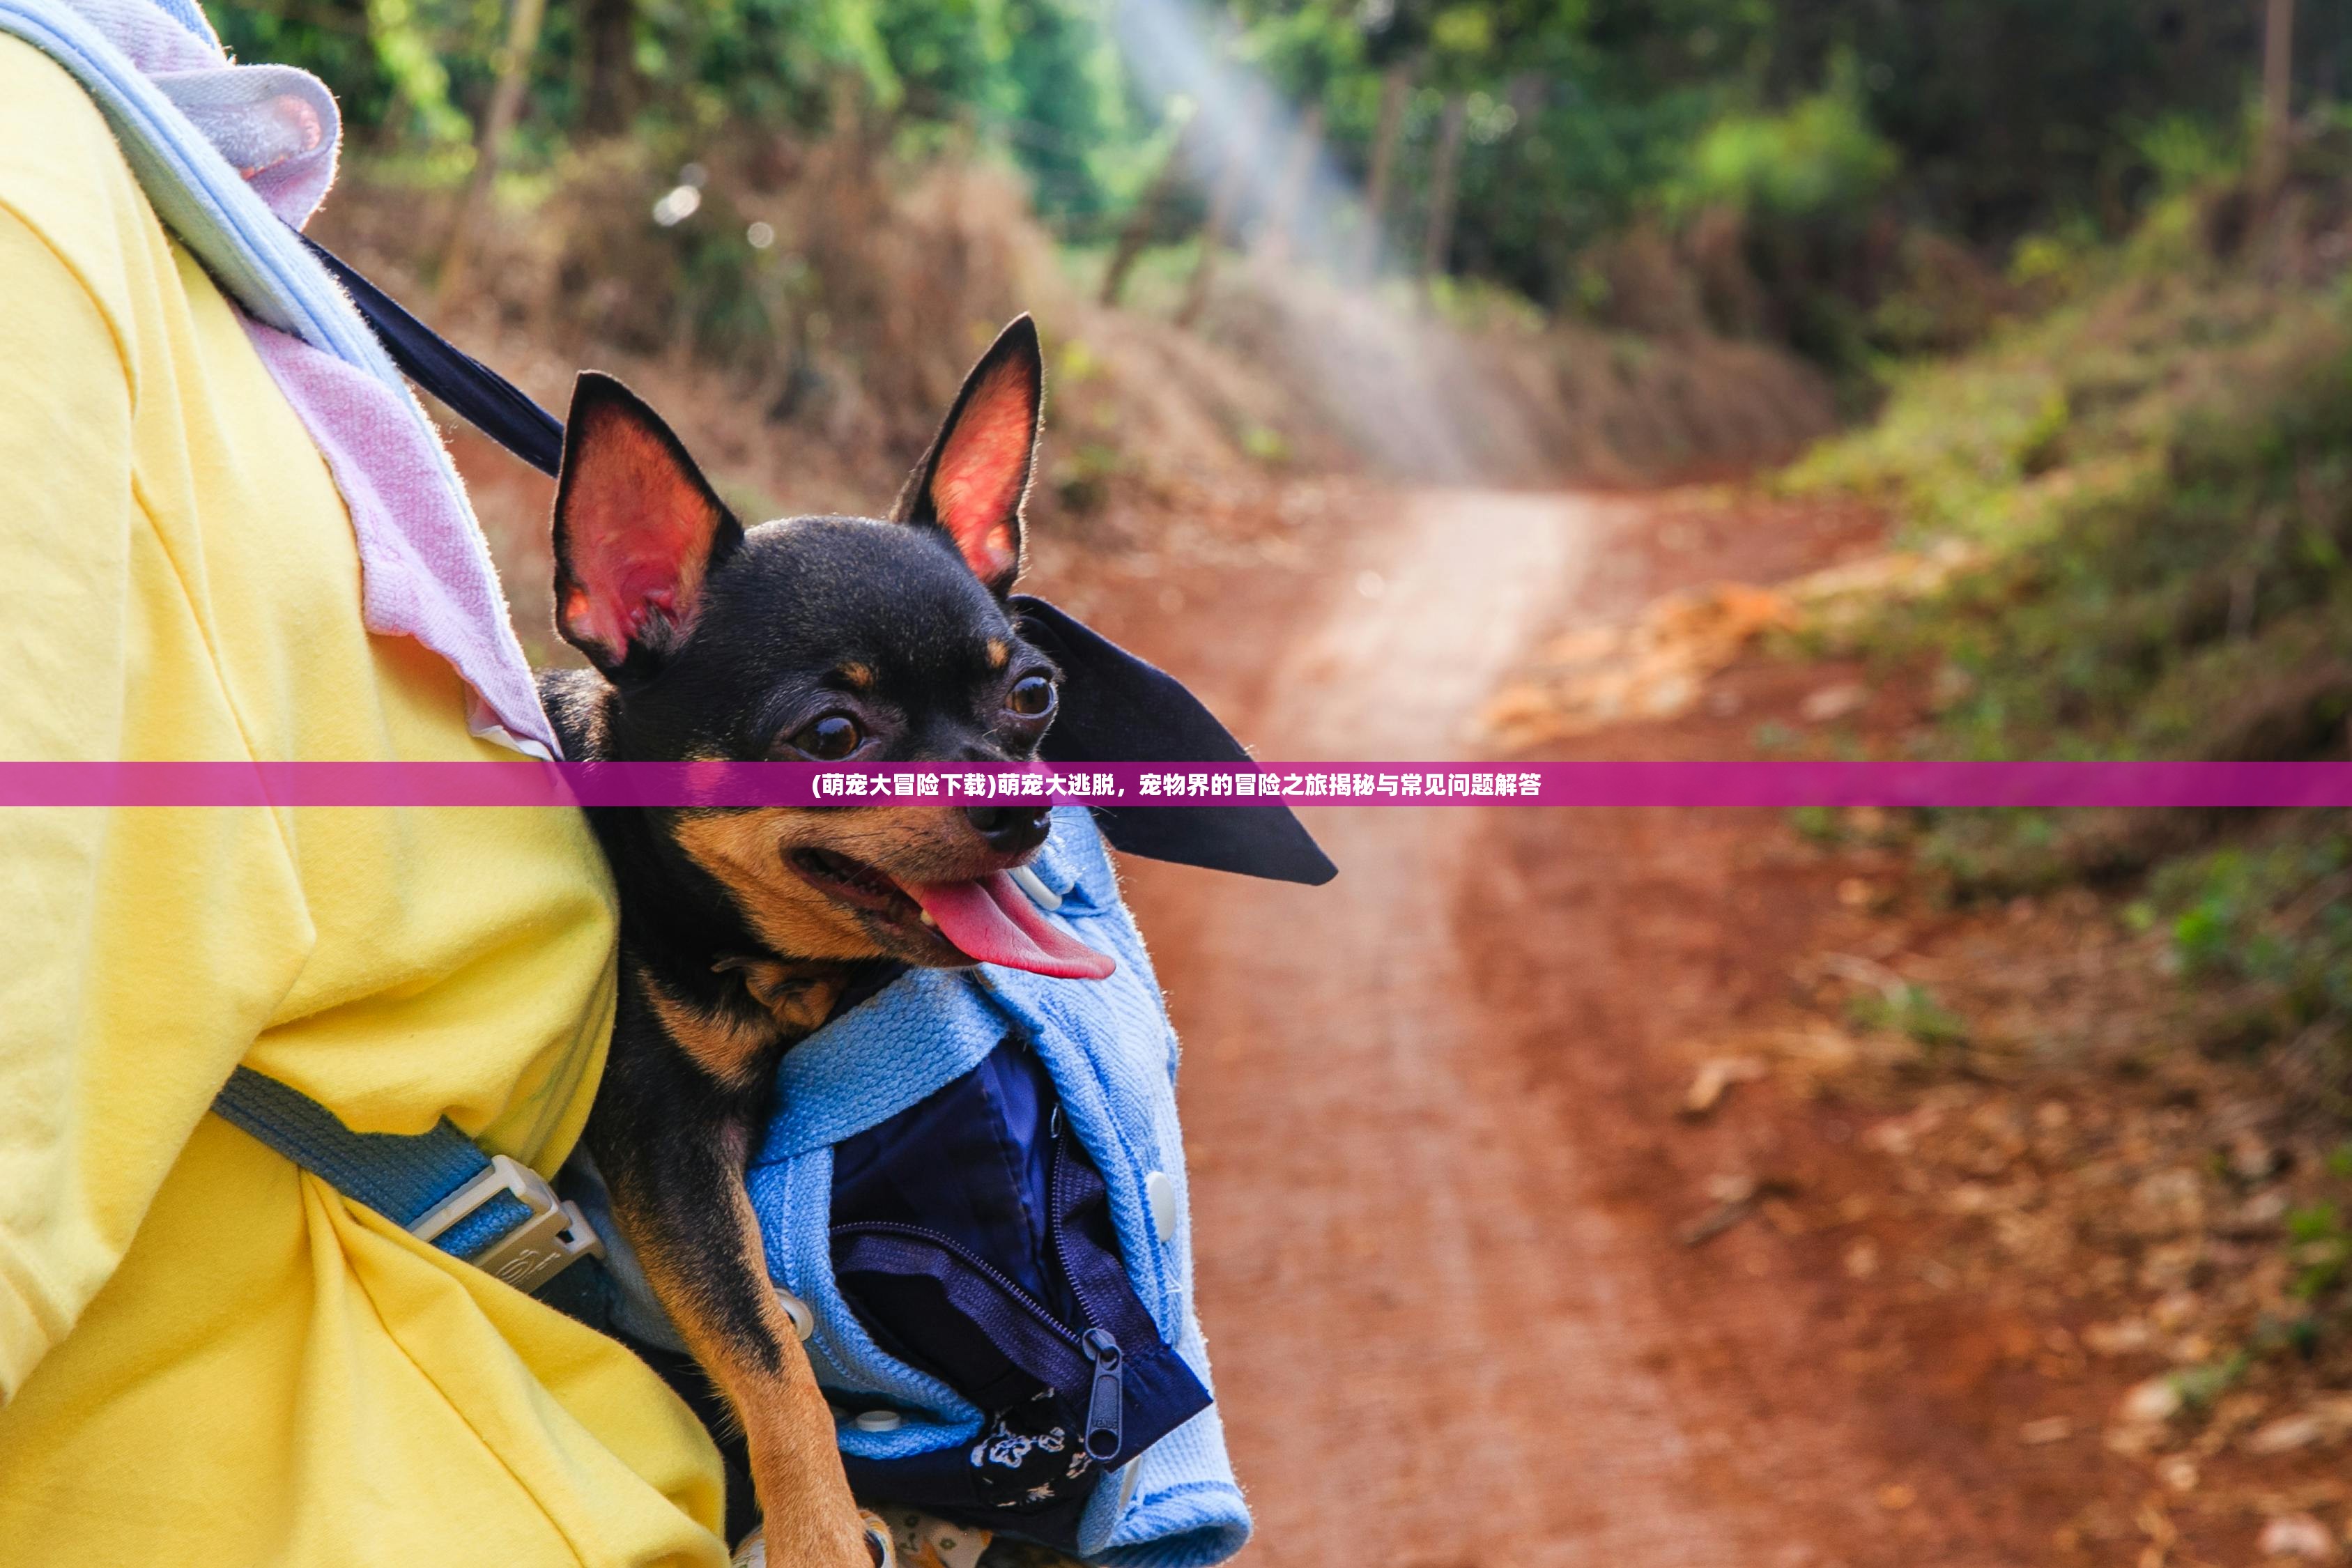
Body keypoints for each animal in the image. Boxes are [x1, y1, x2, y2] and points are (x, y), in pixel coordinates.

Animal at [541, 319, 1110, 1568]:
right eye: (833, 735)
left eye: (1033, 695)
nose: (1022, 806)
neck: (779, 974)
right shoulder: (667, 1149)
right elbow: (767, 1346)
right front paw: (819, 1530)